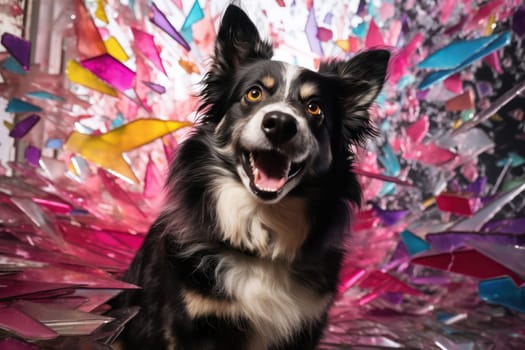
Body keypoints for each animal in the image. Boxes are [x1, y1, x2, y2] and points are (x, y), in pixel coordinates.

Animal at [119, 5, 388, 350]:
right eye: (254, 93)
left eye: (314, 108)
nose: (280, 124)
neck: (261, 229)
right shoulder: (194, 322)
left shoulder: (307, 324)